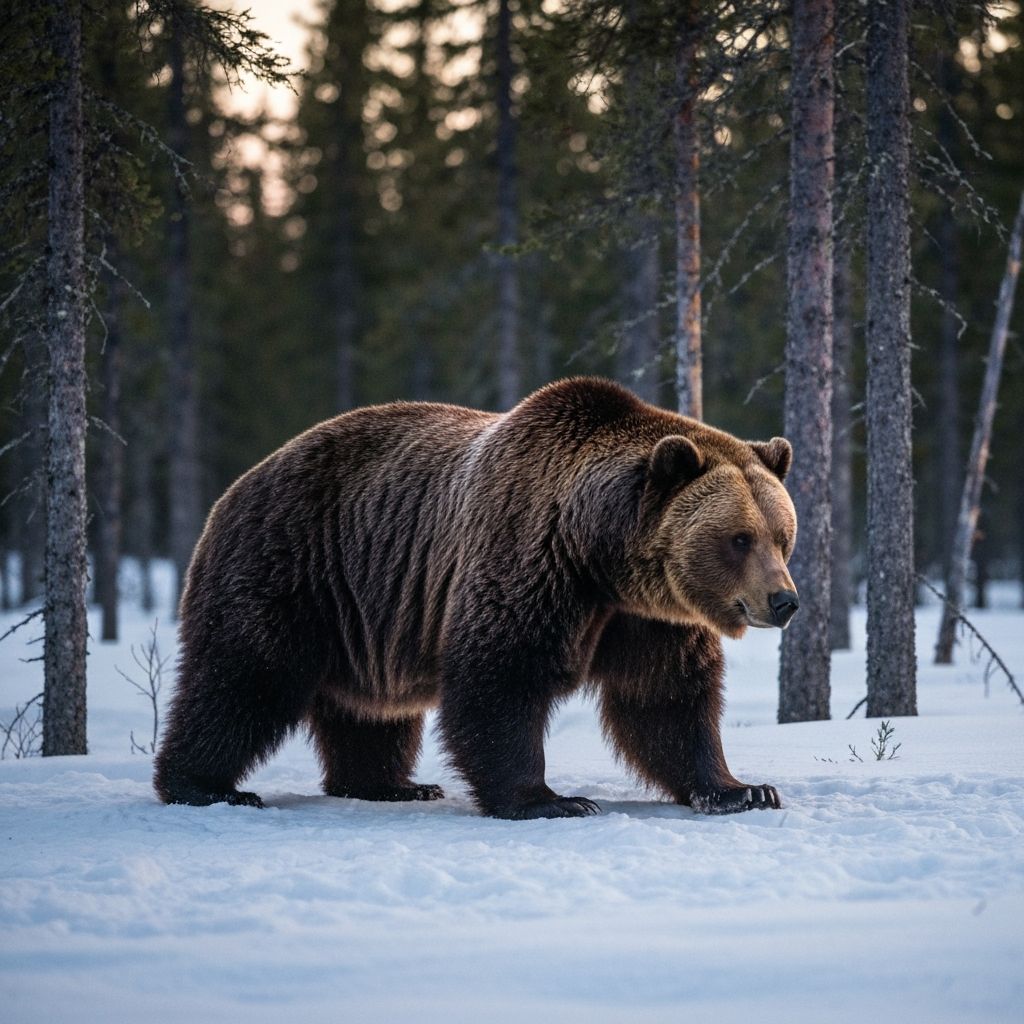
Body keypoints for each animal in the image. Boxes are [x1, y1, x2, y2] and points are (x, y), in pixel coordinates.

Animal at [154, 377, 799, 819]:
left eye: (782, 534)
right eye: (739, 538)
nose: (784, 600)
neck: (600, 557)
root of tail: (235, 488)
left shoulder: (648, 618)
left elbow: (667, 699)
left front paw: (743, 789)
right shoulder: (529, 560)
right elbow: (501, 677)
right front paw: (552, 799)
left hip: (361, 615)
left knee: (370, 710)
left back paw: (392, 784)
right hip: (290, 569)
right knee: (243, 680)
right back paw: (205, 786)